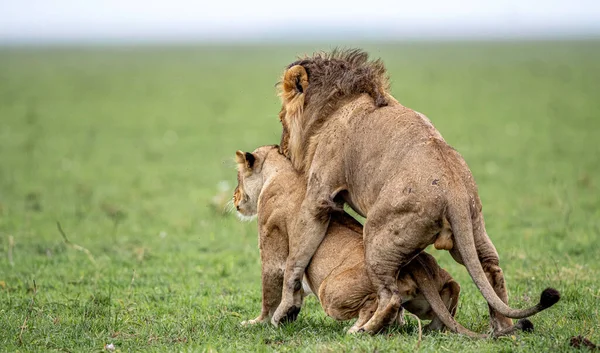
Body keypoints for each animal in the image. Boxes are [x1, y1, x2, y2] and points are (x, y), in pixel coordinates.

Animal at [232, 144, 532, 336]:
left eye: (237, 177)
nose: (234, 197)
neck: (281, 170)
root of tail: (413, 266)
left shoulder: (271, 245)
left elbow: (271, 290)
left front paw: (259, 322)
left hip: (330, 290)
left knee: (379, 301)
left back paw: (359, 329)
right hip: (429, 287)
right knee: (454, 287)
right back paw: (428, 328)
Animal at [270, 48, 560, 332]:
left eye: (281, 119)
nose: (281, 149)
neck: (335, 104)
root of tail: (453, 189)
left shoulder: (319, 197)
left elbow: (294, 262)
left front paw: (284, 311)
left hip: (377, 236)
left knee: (390, 296)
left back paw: (363, 331)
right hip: (475, 227)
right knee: (492, 270)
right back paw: (501, 329)